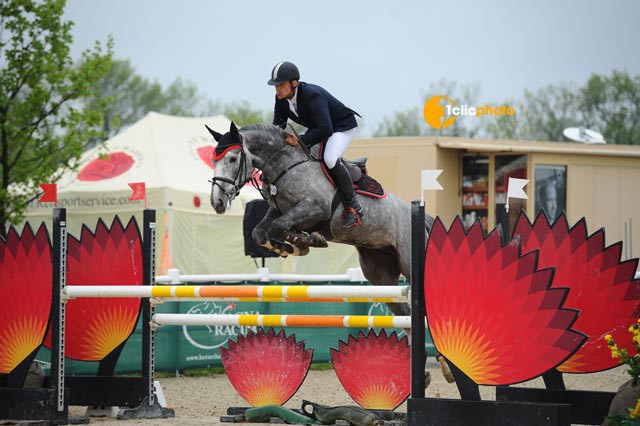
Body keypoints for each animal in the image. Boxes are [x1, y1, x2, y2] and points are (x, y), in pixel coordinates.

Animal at [208, 122, 452, 382]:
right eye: (214, 159)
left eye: (233, 158)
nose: (217, 203)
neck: (284, 164)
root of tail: (419, 215)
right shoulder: (277, 211)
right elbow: (260, 232)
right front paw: (289, 244)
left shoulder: (315, 209)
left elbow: (279, 227)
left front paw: (301, 241)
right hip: (380, 276)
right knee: (406, 315)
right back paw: (423, 373)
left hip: (410, 264)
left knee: (425, 311)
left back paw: (444, 366)